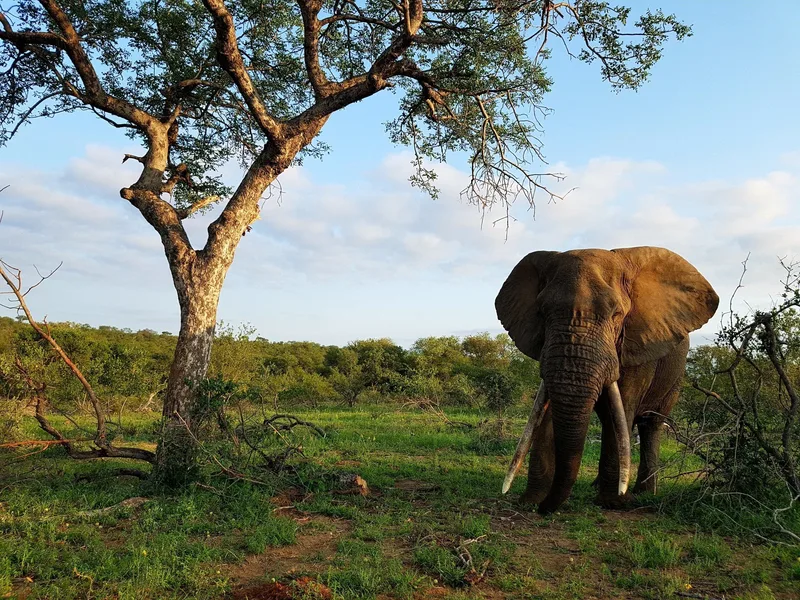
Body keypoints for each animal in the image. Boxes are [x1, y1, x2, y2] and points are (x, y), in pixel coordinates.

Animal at [495, 246, 719, 514]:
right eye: (542, 313)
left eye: (617, 314)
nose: (543, 510)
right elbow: (545, 410)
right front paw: (531, 500)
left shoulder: (637, 344)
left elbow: (623, 407)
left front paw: (613, 503)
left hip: (675, 374)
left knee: (650, 424)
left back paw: (643, 493)